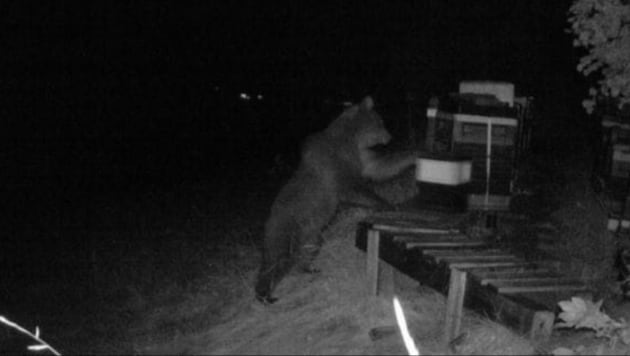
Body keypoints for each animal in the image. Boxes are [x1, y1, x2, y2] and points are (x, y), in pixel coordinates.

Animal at [256, 96, 420, 304]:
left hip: (311, 233)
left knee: (309, 249)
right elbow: (354, 189)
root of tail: (268, 220)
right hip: (285, 229)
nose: (389, 136)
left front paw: (415, 154)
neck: (352, 140)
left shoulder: (362, 158)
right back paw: (265, 295)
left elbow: (380, 167)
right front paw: (387, 204)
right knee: (276, 260)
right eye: (381, 122)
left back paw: (309, 268)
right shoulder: (337, 169)